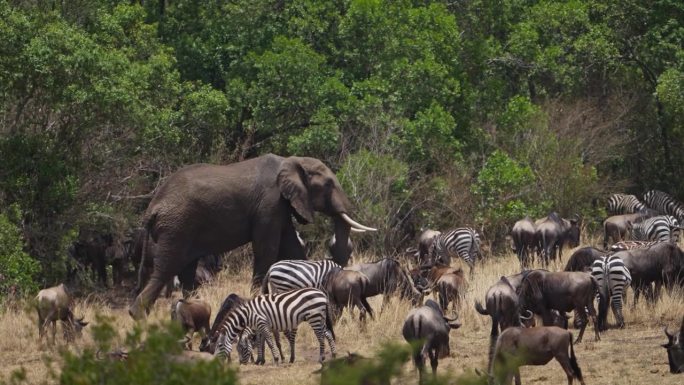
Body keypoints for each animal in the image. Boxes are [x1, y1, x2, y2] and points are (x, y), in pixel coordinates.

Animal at [127, 153, 374, 318]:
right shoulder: (269, 204)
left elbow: (291, 247)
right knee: (166, 268)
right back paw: (138, 316)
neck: (292, 161)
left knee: (186, 270)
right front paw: (256, 299)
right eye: (329, 184)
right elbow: (268, 248)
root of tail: (152, 208)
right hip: (176, 227)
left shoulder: (281, 206)